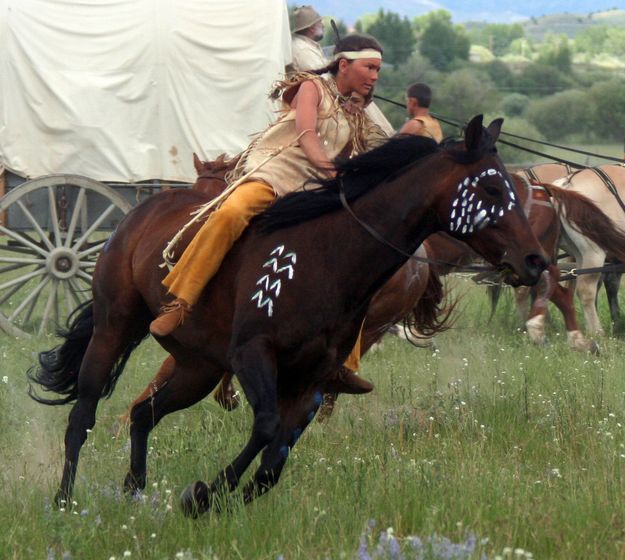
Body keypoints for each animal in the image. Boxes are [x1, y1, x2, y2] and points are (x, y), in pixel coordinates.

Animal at [29, 117, 544, 516]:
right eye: (491, 186)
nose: (535, 260)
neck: (330, 254)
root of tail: (136, 216)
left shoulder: (312, 378)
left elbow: (274, 461)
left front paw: (218, 501)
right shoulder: (254, 355)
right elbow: (266, 427)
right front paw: (203, 496)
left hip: (197, 367)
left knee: (142, 413)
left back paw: (133, 492)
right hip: (115, 326)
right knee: (83, 414)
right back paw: (64, 502)